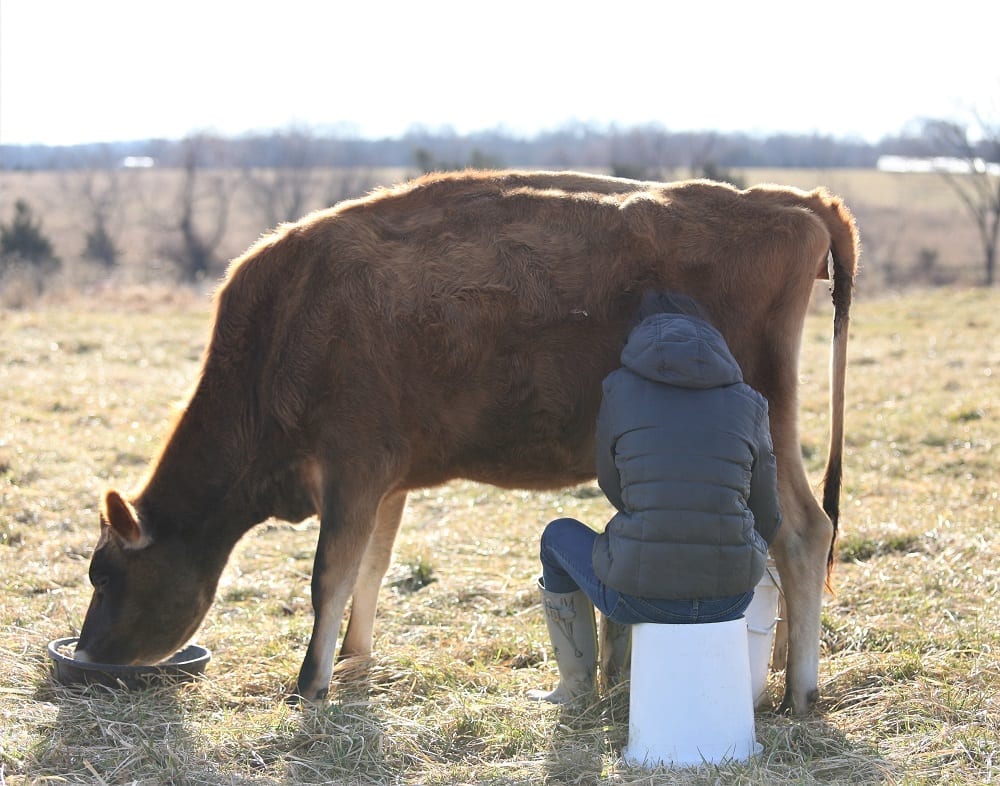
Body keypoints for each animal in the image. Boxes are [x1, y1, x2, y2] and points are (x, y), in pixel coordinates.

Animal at [80, 168, 860, 712]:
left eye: (105, 575)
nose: (88, 653)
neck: (285, 323)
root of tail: (791, 201)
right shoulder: (385, 479)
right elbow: (372, 566)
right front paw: (355, 660)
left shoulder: (352, 464)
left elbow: (330, 573)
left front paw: (308, 684)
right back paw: (779, 666)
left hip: (771, 419)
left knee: (804, 531)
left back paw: (801, 693)